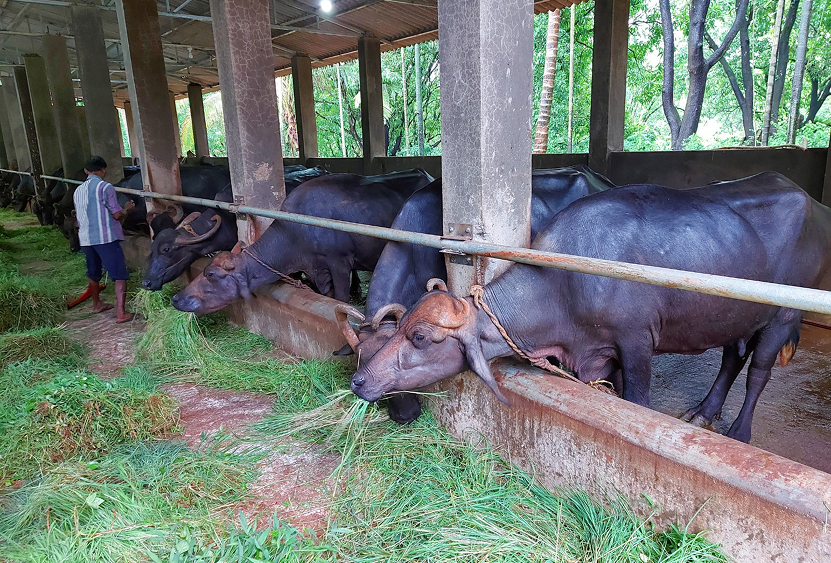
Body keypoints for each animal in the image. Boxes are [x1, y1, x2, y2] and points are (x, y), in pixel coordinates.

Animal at [171, 169, 434, 314]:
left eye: (211, 275)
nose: (177, 298)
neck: (296, 231)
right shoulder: (317, 270)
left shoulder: (339, 263)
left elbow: (340, 298)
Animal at [349, 172, 831, 443]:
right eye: (362, 352)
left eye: (420, 337)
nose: (359, 382)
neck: (565, 284)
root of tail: (811, 201)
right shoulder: (594, 355)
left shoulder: (636, 343)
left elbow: (636, 400)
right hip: (733, 315)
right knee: (732, 357)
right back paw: (704, 411)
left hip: (782, 314)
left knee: (759, 371)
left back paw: (739, 432)